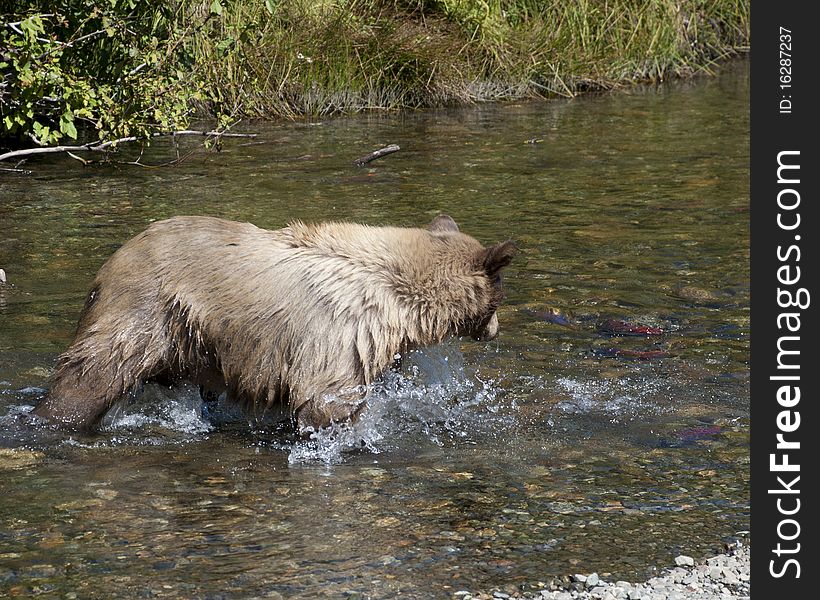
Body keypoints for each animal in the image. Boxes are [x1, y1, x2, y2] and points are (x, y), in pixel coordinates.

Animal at [33, 213, 520, 434]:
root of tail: (108, 265)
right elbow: (325, 400)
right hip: (144, 312)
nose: (495, 330)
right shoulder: (339, 334)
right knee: (92, 375)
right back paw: (53, 419)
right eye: (499, 295)